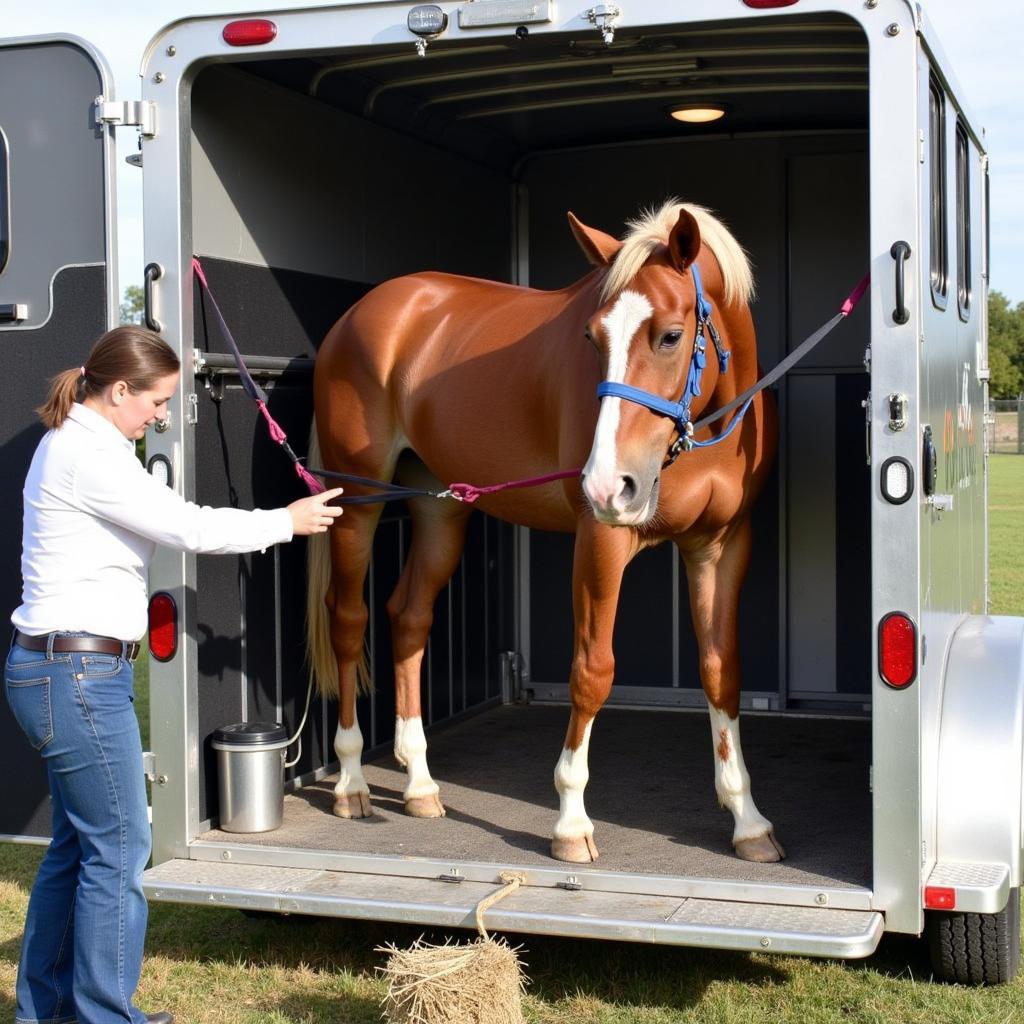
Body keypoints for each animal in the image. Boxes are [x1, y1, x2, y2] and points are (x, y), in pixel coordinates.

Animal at [307, 199, 778, 864]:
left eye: (670, 334)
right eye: (592, 336)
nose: (609, 483)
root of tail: (360, 315)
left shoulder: (721, 547)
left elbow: (721, 671)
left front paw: (748, 821)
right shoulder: (601, 541)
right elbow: (592, 671)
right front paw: (571, 823)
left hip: (440, 509)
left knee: (409, 617)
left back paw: (421, 784)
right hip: (357, 501)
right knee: (349, 620)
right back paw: (351, 781)